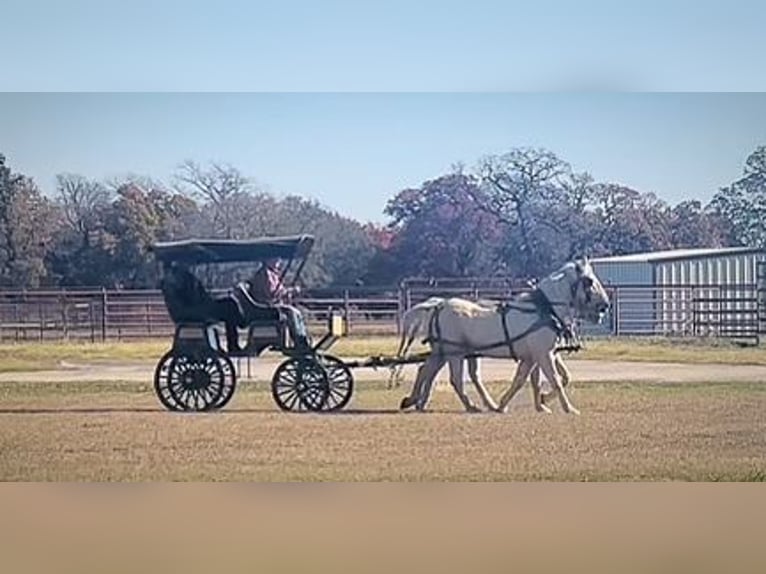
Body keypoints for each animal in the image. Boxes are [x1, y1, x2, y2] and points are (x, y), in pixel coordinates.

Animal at [400, 260, 608, 414]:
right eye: (589, 281)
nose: (605, 305)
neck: (544, 308)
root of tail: (439, 304)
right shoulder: (544, 354)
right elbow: (554, 379)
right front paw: (569, 408)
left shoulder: (535, 356)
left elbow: (529, 380)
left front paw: (535, 404)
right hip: (454, 353)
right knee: (454, 379)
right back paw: (469, 406)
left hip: (445, 352)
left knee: (427, 370)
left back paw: (417, 401)